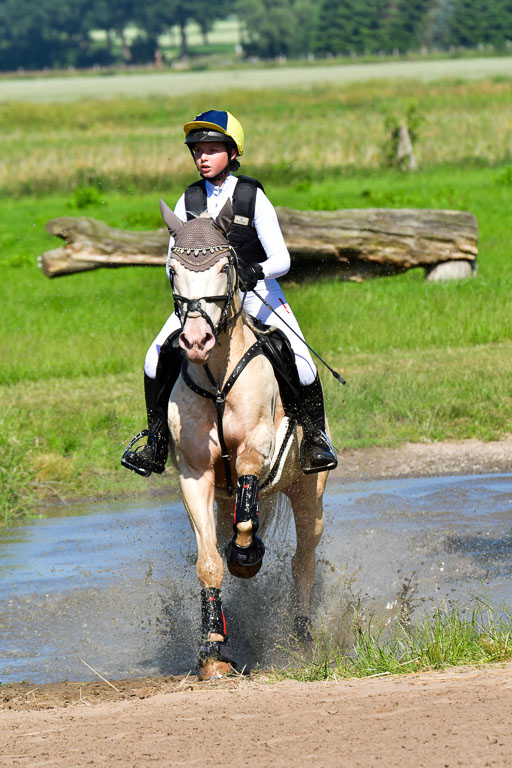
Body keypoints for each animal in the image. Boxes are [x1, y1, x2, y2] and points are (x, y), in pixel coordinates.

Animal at [160, 198, 329, 680]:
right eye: (172, 269)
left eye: (225, 266)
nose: (195, 340)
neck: (217, 375)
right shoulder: (196, 475)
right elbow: (209, 563)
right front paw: (212, 651)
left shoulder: (259, 445)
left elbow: (249, 489)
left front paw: (247, 556)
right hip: (221, 501)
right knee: (225, 533)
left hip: (309, 492)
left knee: (302, 560)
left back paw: (302, 638)